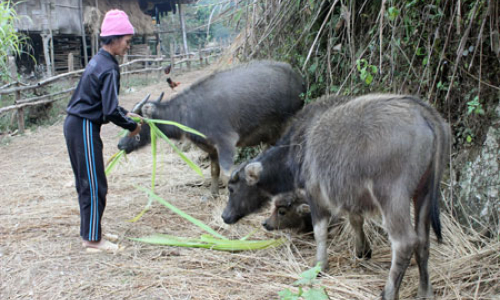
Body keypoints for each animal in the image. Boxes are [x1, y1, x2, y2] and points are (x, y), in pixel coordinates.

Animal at [117, 61, 304, 197]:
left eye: (136, 122)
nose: (120, 144)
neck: (187, 113)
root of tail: (297, 78)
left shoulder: (226, 143)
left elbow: (227, 173)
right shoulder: (211, 148)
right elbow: (214, 171)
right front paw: (212, 194)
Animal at [223, 94, 450, 300]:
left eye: (232, 188)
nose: (225, 216)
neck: (301, 144)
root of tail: (423, 112)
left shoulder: (315, 195)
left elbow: (320, 231)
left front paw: (319, 266)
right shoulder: (350, 194)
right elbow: (355, 219)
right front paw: (363, 250)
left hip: (392, 197)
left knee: (405, 242)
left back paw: (388, 293)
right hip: (424, 192)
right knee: (423, 241)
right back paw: (425, 290)